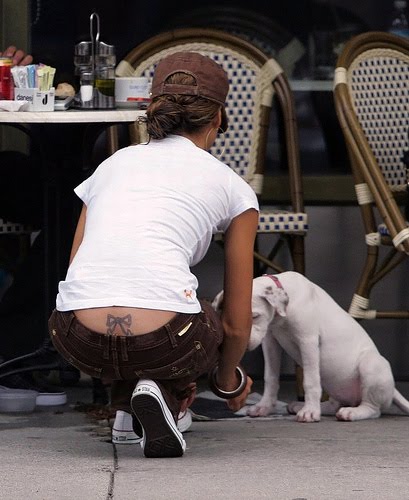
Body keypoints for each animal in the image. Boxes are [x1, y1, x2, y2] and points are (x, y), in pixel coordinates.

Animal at [212, 272, 409, 422]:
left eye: (254, 316)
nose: (241, 346)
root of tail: (393, 388)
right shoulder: (270, 342)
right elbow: (271, 377)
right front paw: (264, 407)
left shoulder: (308, 340)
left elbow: (311, 381)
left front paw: (310, 412)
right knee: (336, 403)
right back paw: (304, 406)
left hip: (371, 365)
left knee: (374, 409)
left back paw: (351, 412)